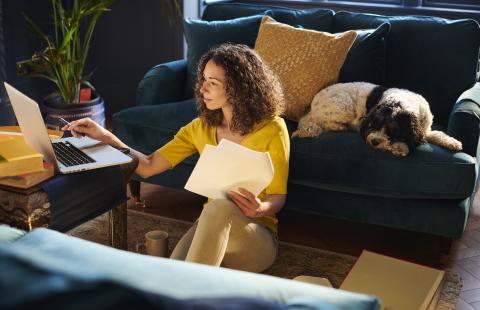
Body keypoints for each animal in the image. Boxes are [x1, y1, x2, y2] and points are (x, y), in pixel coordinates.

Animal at [290, 81, 464, 156]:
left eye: (393, 130)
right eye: (373, 125)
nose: (374, 141)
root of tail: (312, 105)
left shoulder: (424, 129)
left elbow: (436, 134)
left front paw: (452, 142)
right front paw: (400, 147)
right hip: (344, 106)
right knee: (324, 122)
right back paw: (339, 127)